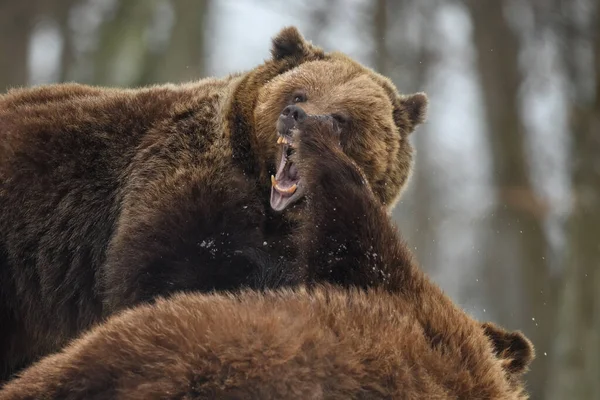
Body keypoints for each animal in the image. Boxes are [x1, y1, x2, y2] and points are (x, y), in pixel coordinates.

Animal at [0, 26, 428, 380]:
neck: (272, 212)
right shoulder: (185, 190)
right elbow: (165, 275)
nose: (296, 116)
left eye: (342, 117)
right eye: (299, 92)